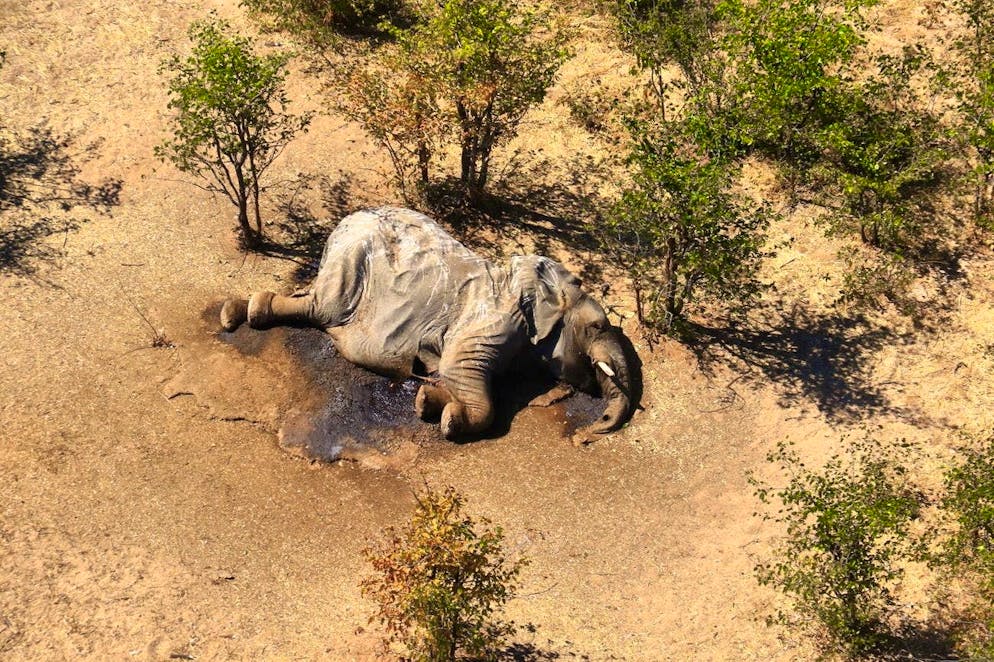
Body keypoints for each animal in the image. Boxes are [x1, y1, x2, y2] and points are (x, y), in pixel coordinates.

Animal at [219, 206, 637, 442]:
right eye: (597, 327)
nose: (586, 436)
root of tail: (346, 220)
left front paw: (427, 402)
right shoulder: (494, 319)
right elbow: (460, 370)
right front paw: (450, 420)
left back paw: (238, 311)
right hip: (351, 262)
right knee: (322, 308)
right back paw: (240, 313)